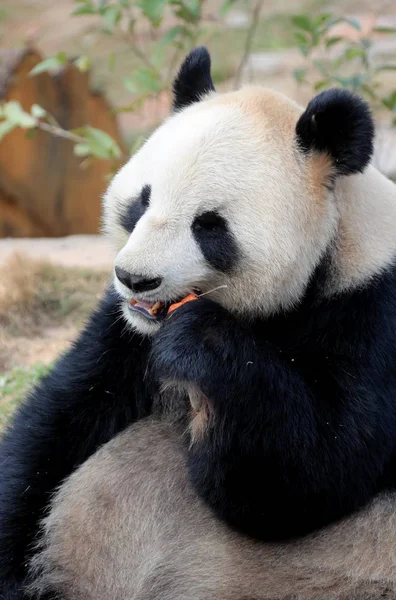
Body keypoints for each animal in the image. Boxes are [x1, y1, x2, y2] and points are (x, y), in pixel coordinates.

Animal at [1, 48, 396, 600]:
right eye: (142, 200)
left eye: (209, 225)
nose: (135, 278)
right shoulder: (121, 333)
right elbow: (59, 423)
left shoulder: (373, 312)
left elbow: (310, 475)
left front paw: (197, 340)